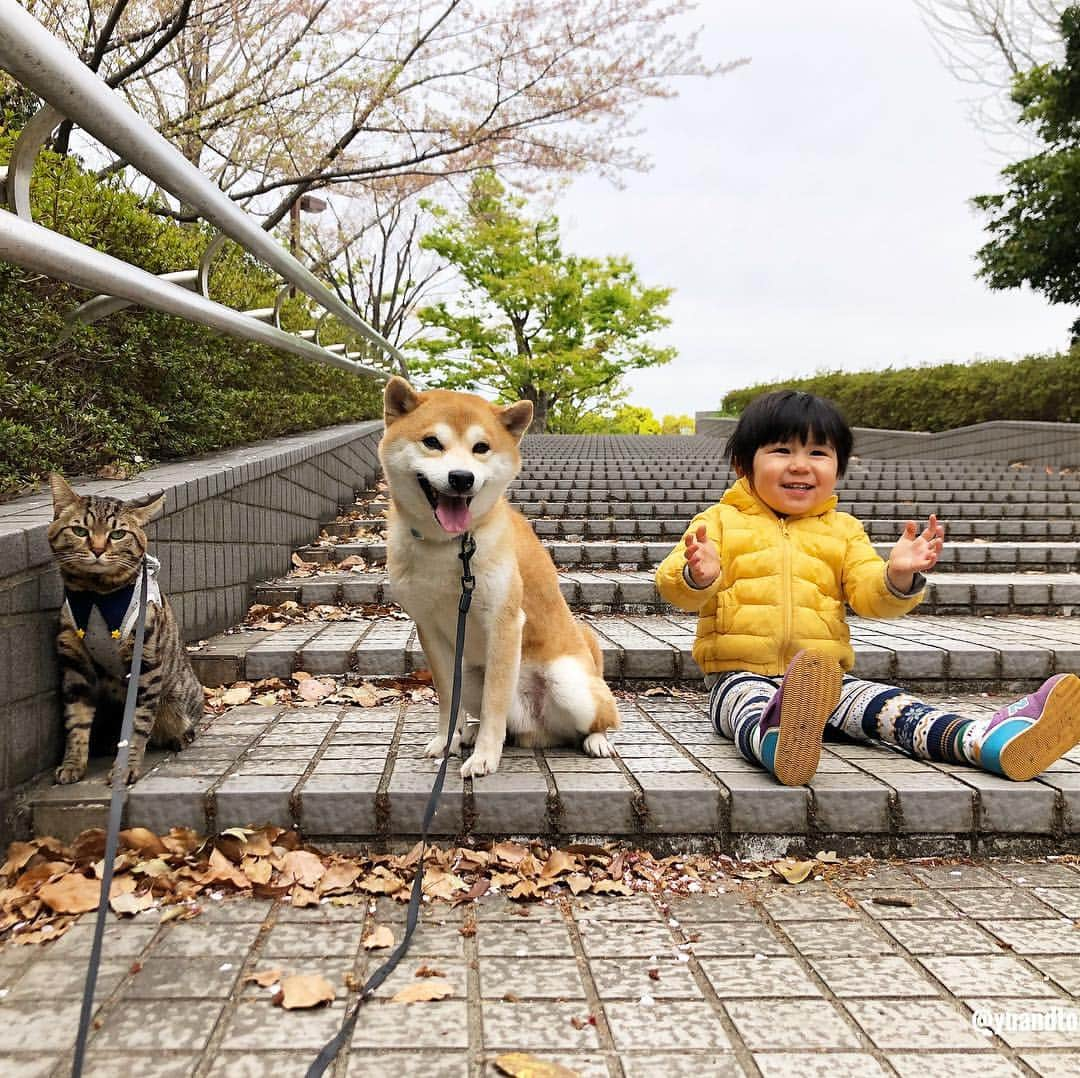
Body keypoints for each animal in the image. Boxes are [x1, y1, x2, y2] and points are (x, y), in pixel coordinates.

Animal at [48, 473, 201, 786]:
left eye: (117, 534)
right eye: (80, 530)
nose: (97, 549)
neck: (97, 596)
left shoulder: (145, 666)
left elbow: (136, 724)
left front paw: (124, 768)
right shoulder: (75, 664)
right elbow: (76, 721)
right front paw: (72, 764)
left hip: (176, 699)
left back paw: (180, 737)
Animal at [380, 378, 622, 777]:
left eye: (481, 448)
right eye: (432, 442)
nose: (461, 478)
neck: (449, 546)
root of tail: (537, 730)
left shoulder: (504, 624)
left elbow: (495, 703)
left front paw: (484, 757)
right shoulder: (429, 628)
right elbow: (448, 699)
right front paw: (447, 741)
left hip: (570, 684)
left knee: (598, 720)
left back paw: (597, 740)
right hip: (470, 670)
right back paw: (469, 733)